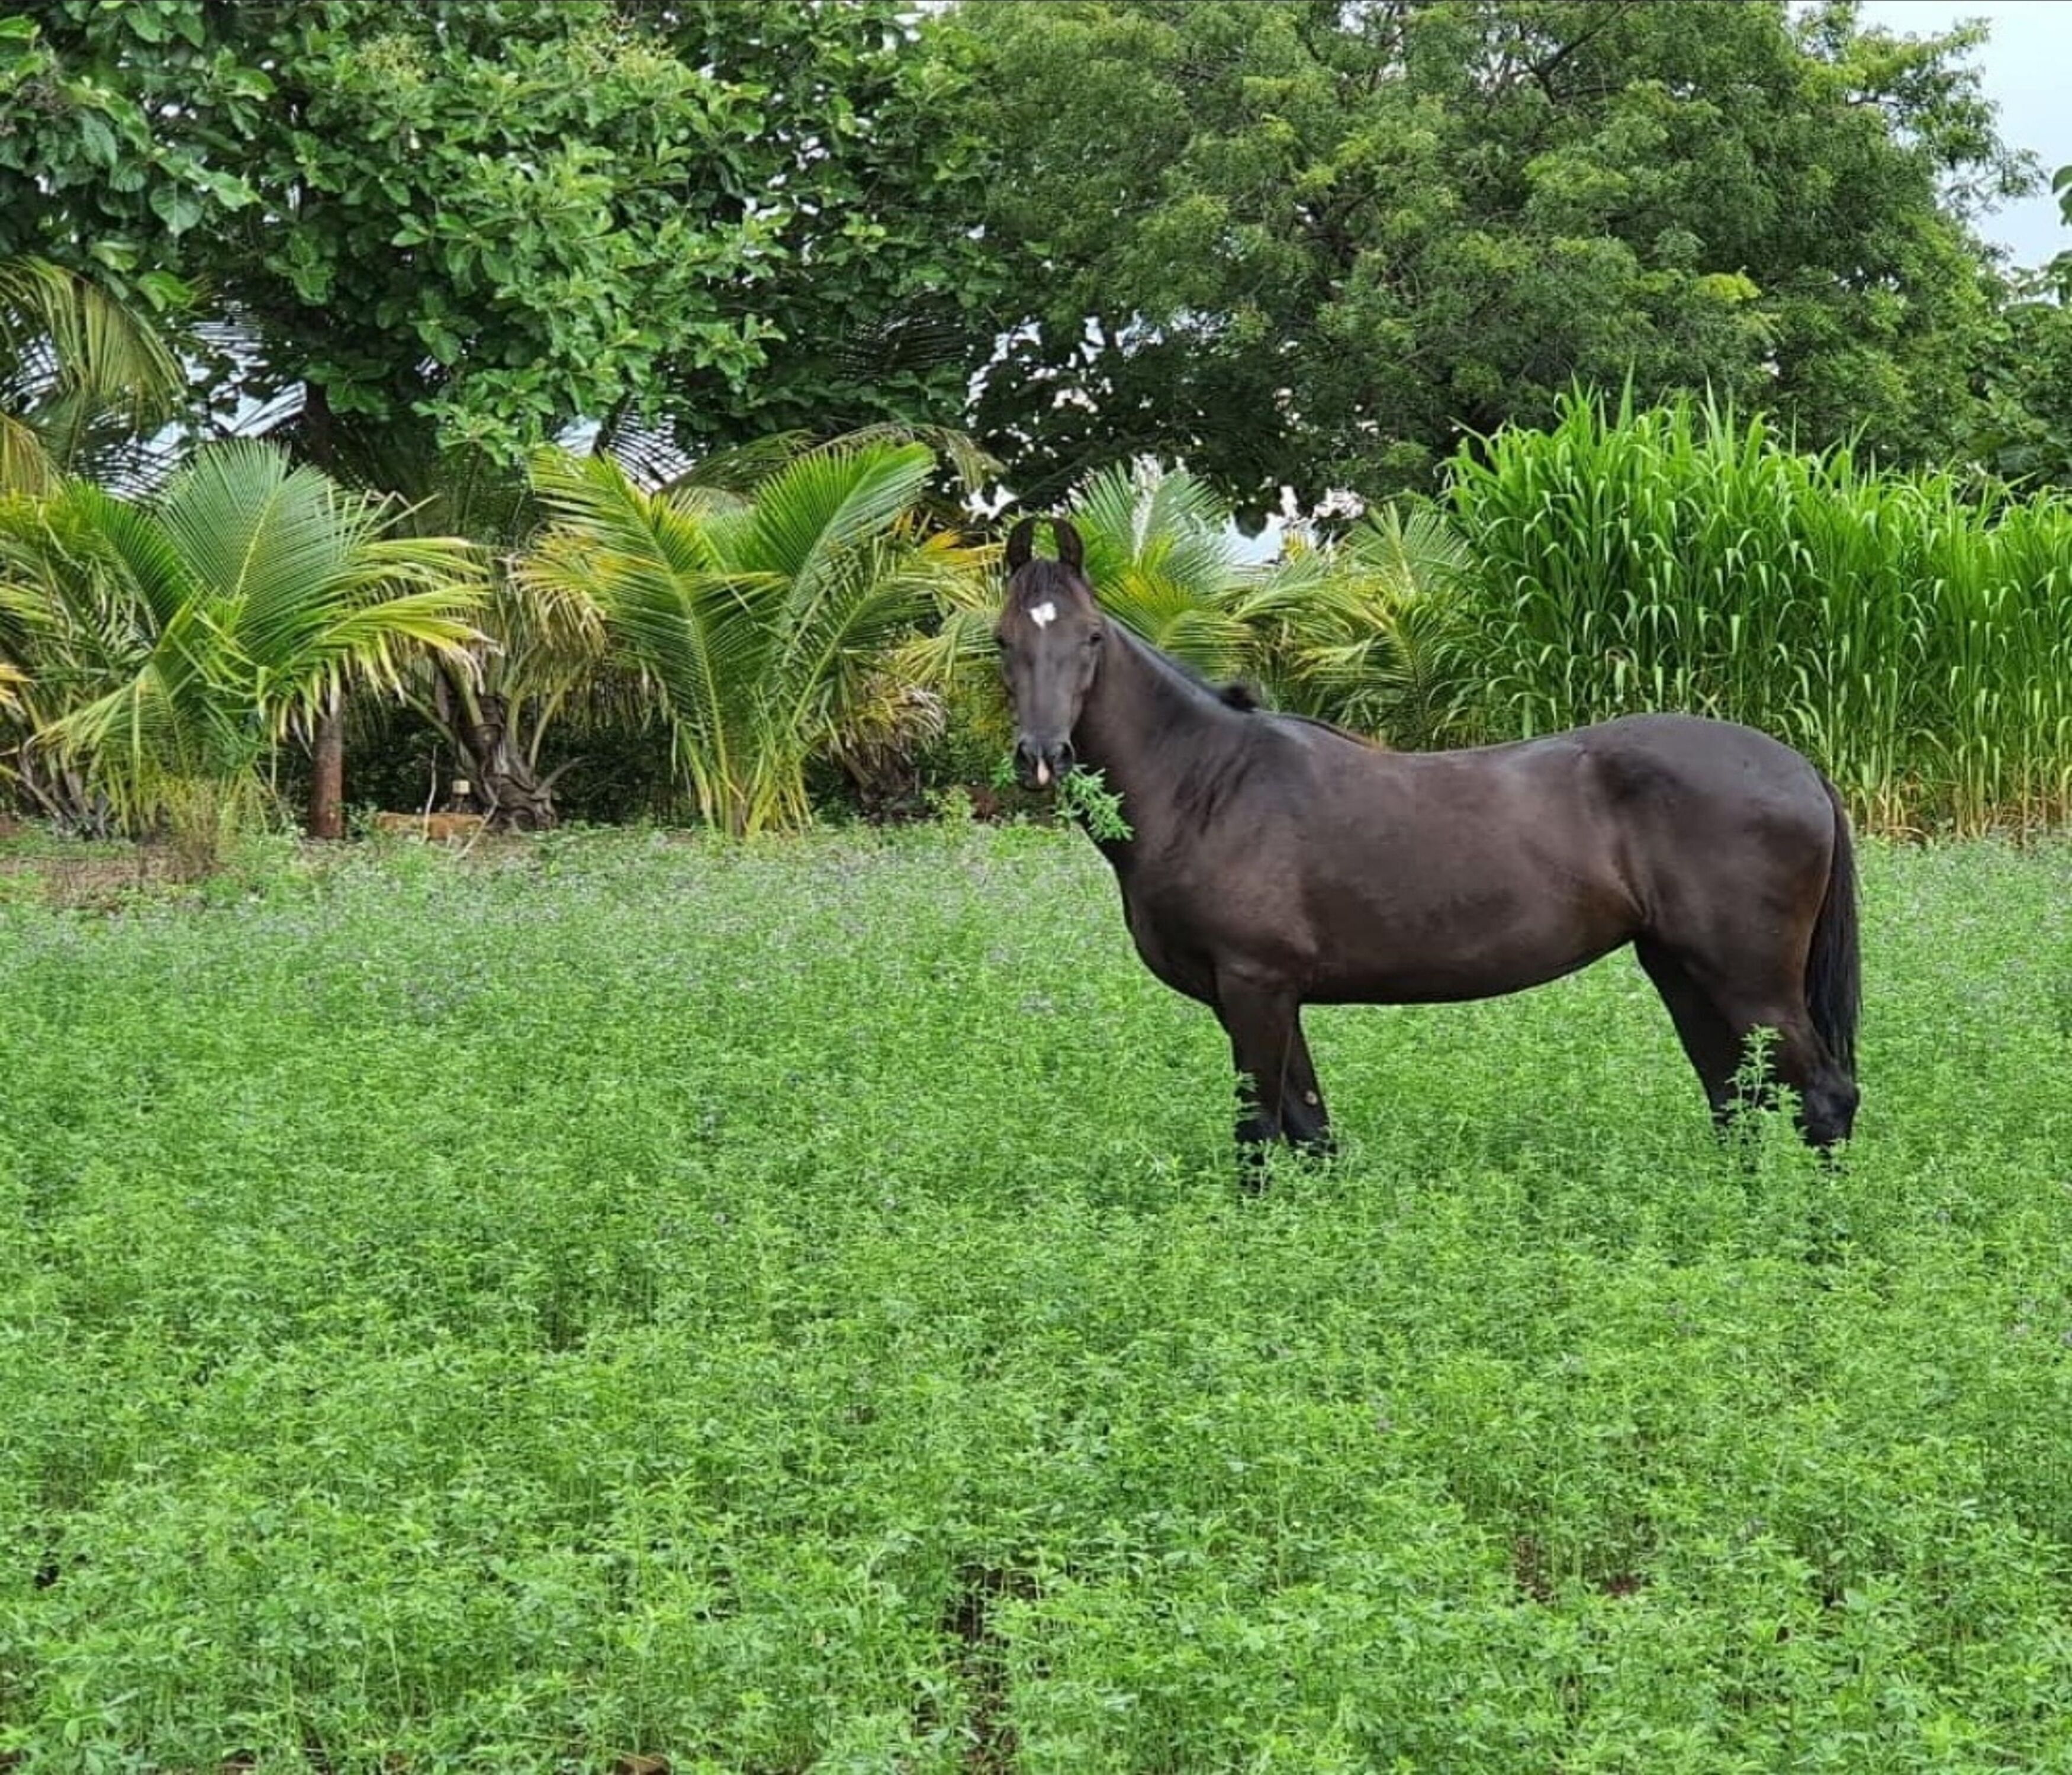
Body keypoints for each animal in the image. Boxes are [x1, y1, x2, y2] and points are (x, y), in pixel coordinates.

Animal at [994, 516, 1860, 1174]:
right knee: (1735, 1097)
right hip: (1680, 970)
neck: (1207, 783)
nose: (1042, 756)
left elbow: (1261, 1135)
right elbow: (1313, 1133)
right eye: (1002, 641)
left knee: (1822, 1098)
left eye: (1092, 637)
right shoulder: (1271, 996)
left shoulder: (1254, 987)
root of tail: (1796, 768)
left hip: (1750, 982)